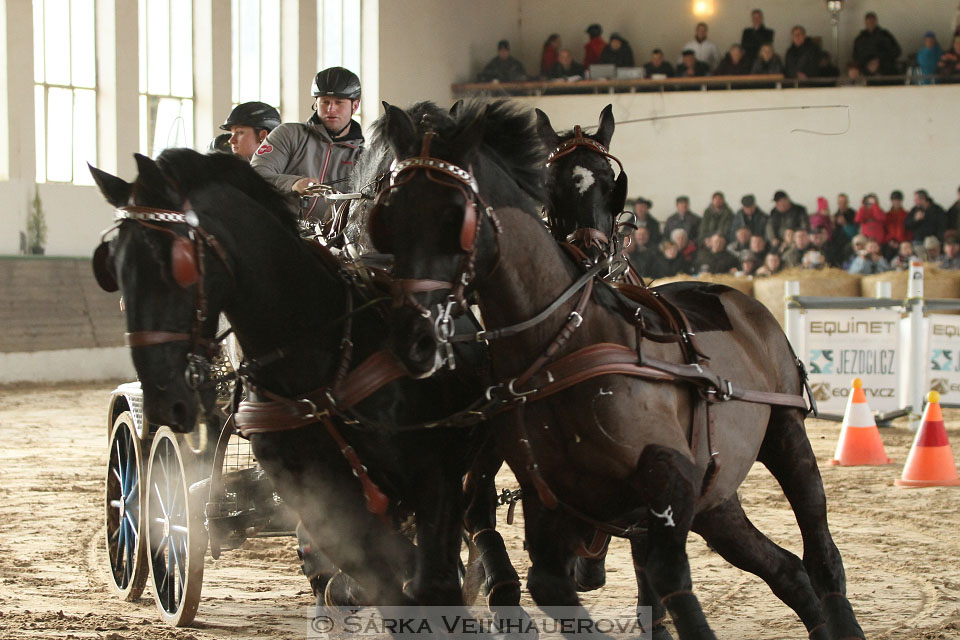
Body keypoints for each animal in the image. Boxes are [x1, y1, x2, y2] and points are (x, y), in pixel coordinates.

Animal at [87, 149, 502, 608]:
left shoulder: (434, 474)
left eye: (176, 262)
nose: (163, 398)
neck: (318, 366)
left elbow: (427, 581)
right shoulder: (320, 501)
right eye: (113, 268)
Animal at [366, 101, 864, 640]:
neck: (562, 341)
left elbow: (664, 576)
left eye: (457, 216)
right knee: (785, 569)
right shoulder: (550, 494)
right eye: (387, 216)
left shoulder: (668, 476)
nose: (411, 334)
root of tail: (738, 297)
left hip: (786, 436)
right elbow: (547, 580)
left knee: (821, 552)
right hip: (716, 499)